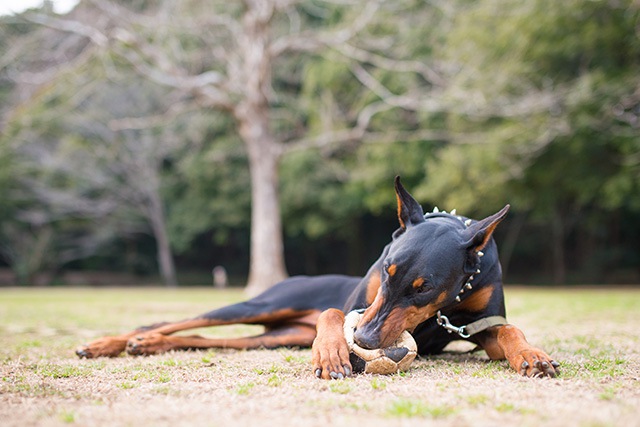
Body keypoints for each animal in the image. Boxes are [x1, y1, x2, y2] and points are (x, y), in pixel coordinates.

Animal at [75, 179, 556, 380]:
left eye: (425, 290)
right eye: (387, 270)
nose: (363, 339)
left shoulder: (484, 324)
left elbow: (508, 331)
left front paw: (531, 355)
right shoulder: (357, 303)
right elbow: (333, 312)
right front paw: (331, 353)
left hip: (277, 335)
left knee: (210, 339)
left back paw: (145, 346)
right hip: (264, 303)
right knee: (173, 322)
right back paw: (114, 342)